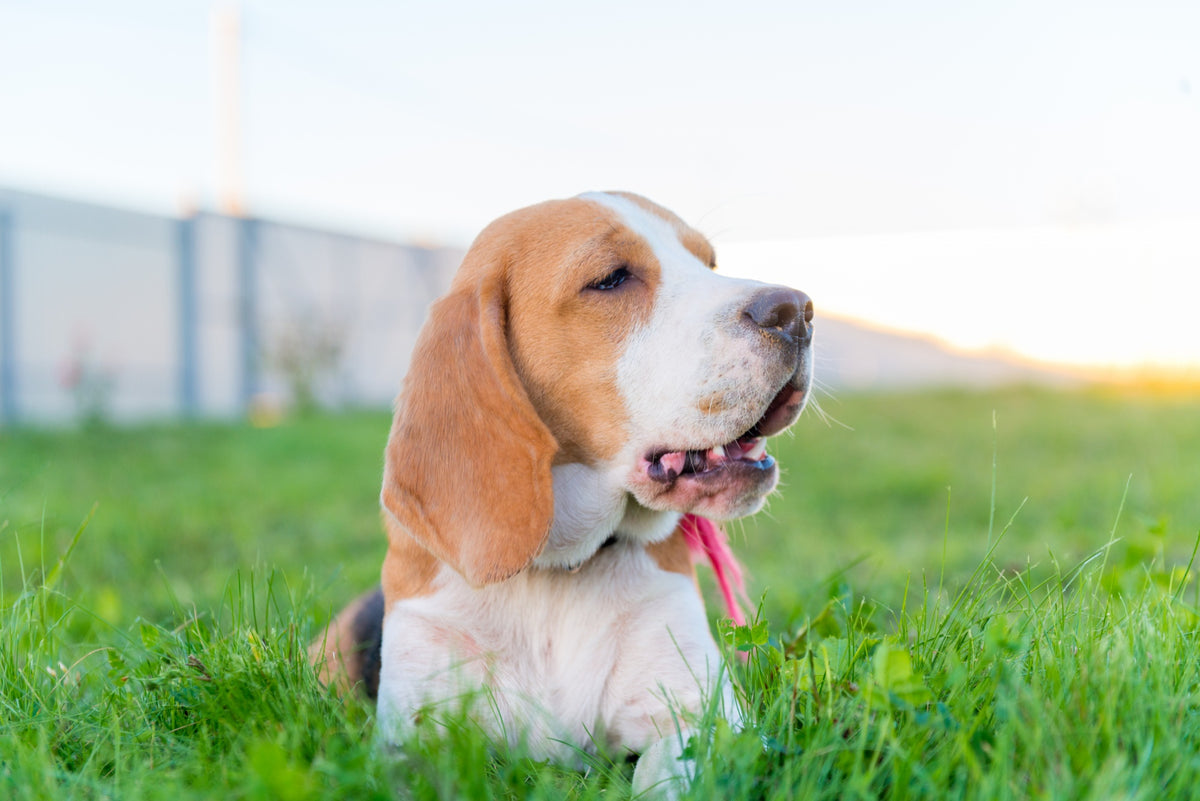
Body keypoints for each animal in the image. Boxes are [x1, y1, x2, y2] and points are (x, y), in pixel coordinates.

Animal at [312, 189, 816, 796]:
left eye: (709, 263)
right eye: (611, 279)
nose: (798, 310)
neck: (557, 573)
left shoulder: (703, 717)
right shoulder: (409, 740)